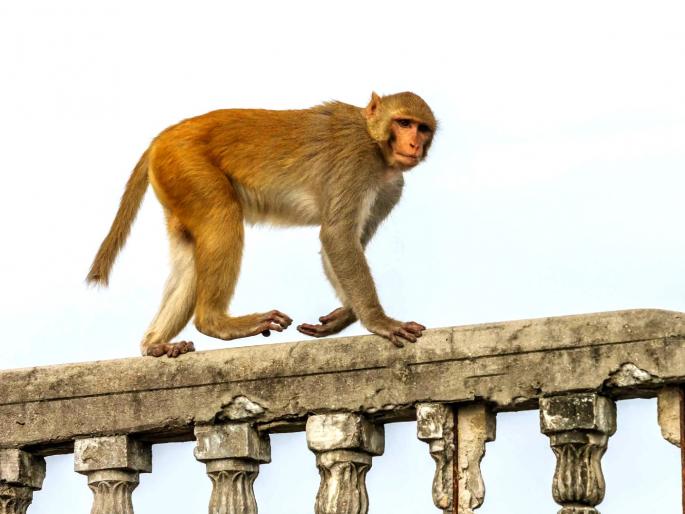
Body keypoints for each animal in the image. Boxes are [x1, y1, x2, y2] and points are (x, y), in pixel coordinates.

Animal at [87, 91, 436, 358]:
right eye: (403, 123)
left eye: (423, 129)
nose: (414, 145)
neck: (376, 144)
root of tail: (160, 139)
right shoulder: (356, 161)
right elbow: (337, 236)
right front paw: (379, 321)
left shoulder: (390, 189)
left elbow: (341, 244)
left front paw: (343, 316)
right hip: (187, 167)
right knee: (222, 215)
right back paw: (216, 322)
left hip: (175, 185)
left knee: (190, 255)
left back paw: (155, 344)